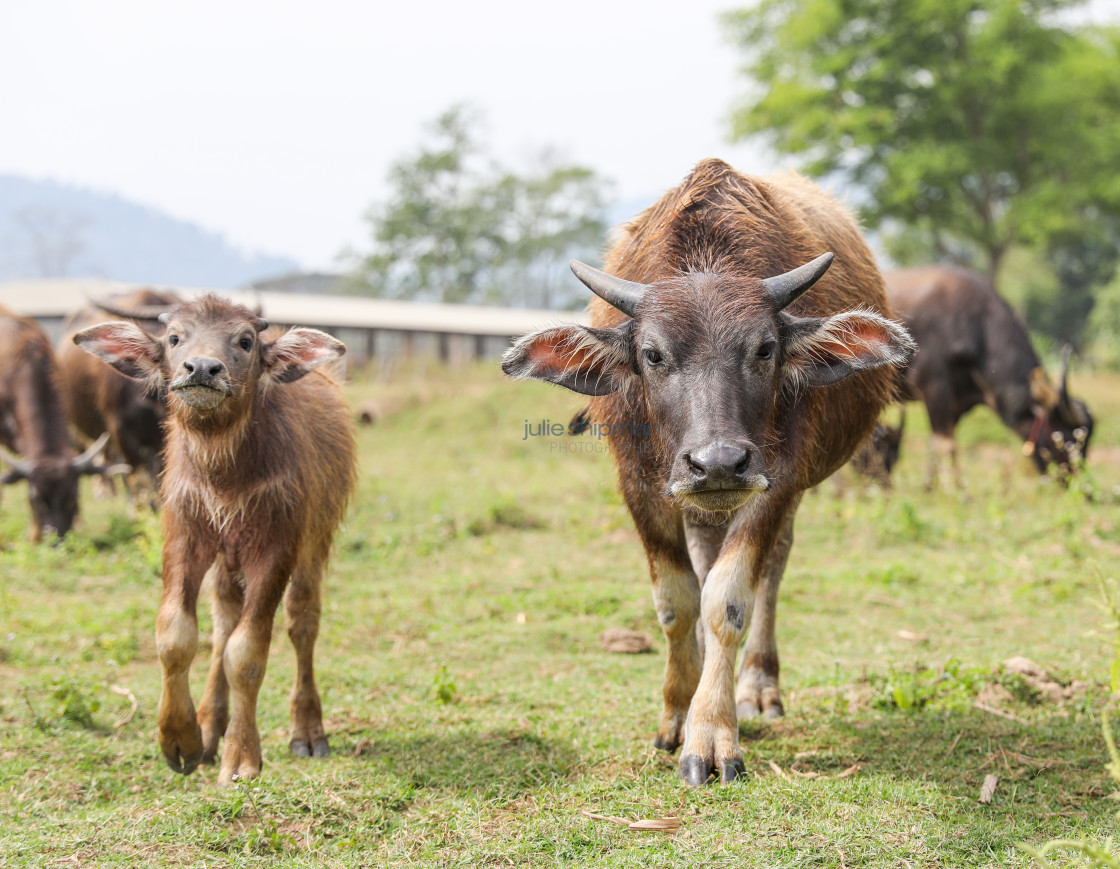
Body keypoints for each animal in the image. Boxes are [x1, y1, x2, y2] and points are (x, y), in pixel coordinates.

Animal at [75, 295, 353, 783]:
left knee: (302, 622)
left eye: (245, 341)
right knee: (223, 622)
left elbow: (247, 653)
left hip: (313, 546)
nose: (202, 368)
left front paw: (241, 757)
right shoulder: (185, 536)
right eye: (174, 338)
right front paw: (180, 738)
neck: (222, 471)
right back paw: (209, 724)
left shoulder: (276, 549)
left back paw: (307, 731)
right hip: (226, 562)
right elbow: (176, 634)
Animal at [504, 159, 913, 783]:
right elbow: (677, 601)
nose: (718, 462)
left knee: (772, 567)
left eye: (765, 349)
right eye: (653, 354)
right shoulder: (641, 485)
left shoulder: (777, 480)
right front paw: (677, 710)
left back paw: (759, 685)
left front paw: (712, 732)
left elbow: (728, 600)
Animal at [882, 264, 1093, 488]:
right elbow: (946, 444)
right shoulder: (934, 389)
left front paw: (930, 488)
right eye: (1064, 437)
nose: (1078, 482)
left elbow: (936, 444)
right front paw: (957, 491)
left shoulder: (956, 404)